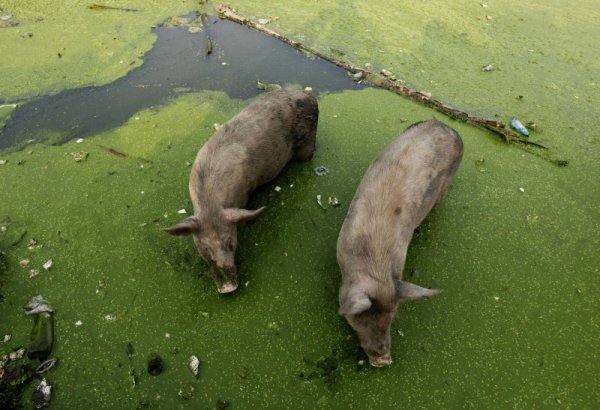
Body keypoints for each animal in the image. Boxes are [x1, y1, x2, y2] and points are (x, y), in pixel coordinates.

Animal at [164, 89, 318, 294]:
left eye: (231, 243)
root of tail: (309, 95)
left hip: (308, 140)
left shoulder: (245, 193)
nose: (228, 288)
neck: (211, 205)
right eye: (205, 249)